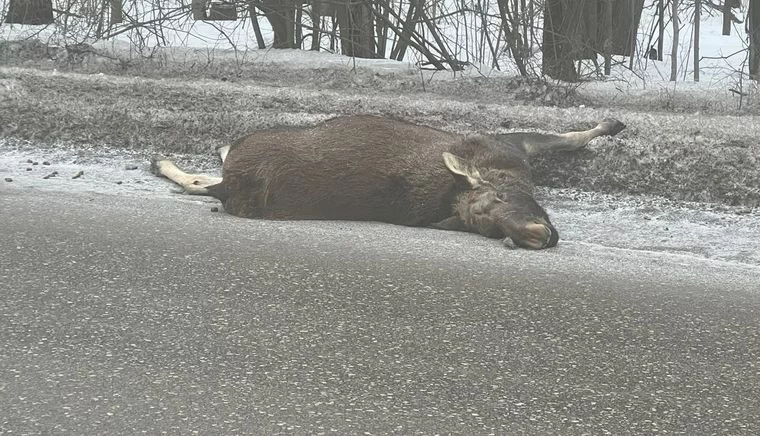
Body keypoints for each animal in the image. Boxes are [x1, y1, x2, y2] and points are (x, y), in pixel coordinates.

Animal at [153, 115, 624, 249]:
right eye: (490, 226)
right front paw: (611, 124)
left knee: (204, 178)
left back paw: (164, 162)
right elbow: (571, 135)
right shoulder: (512, 144)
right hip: (261, 140)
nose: (535, 234)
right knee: (216, 163)